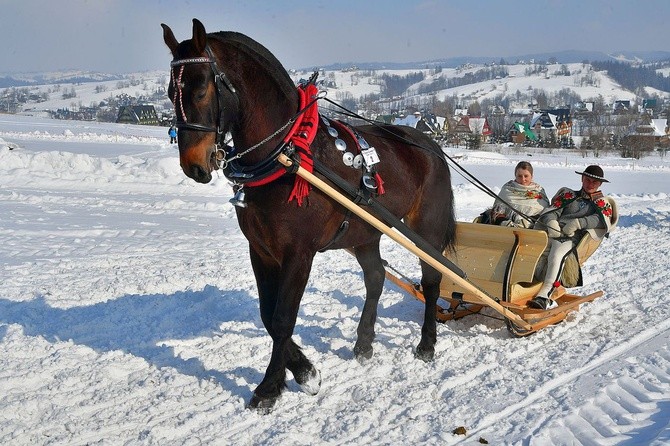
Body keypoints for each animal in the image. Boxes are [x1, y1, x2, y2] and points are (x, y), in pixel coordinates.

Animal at [160, 20, 460, 412]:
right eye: (170, 93)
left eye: (199, 91)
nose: (193, 166)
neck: (287, 153)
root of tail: (431, 146)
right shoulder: (261, 250)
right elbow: (267, 314)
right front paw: (304, 371)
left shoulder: (298, 254)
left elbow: (282, 318)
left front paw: (271, 387)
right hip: (364, 232)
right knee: (376, 278)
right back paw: (364, 343)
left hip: (426, 229)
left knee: (432, 280)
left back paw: (426, 344)